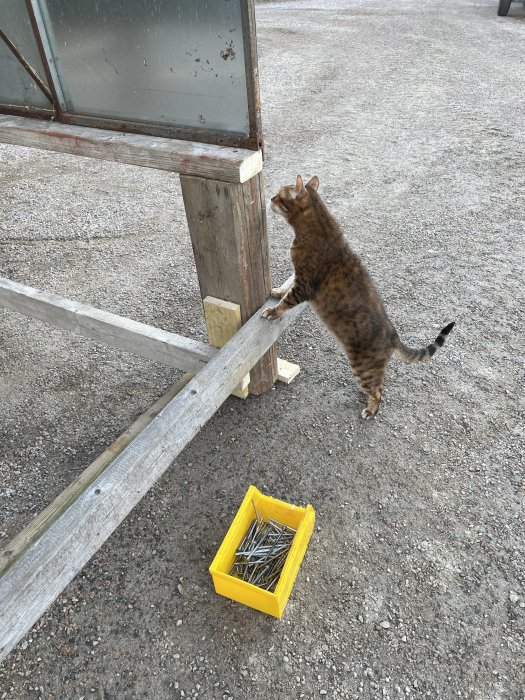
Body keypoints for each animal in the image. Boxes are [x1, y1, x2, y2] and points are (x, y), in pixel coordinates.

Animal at [264, 175, 452, 418]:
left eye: (279, 196)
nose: (270, 198)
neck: (318, 225)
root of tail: (393, 335)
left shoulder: (304, 285)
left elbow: (286, 302)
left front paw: (273, 310)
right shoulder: (299, 278)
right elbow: (284, 291)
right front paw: (277, 290)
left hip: (363, 366)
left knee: (379, 391)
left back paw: (370, 409)